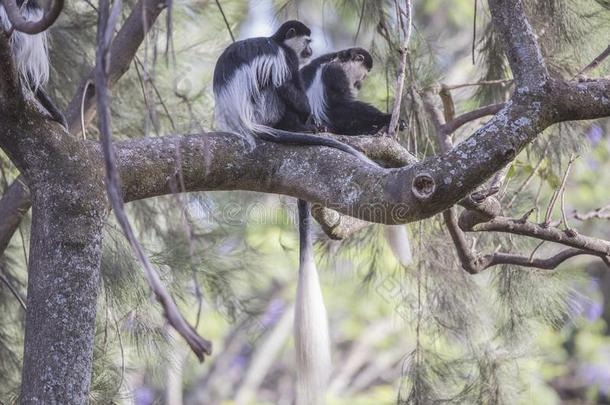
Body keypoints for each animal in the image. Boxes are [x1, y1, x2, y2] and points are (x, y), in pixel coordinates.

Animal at [211, 22, 378, 404]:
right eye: (307, 41)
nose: (311, 48)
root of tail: (246, 123)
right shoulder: (293, 63)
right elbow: (304, 93)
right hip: (267, 109)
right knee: (283, 95)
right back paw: (307, 127)